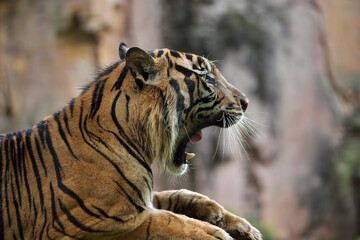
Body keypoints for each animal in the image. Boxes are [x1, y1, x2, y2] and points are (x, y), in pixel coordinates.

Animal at [0, 43, 262, 240]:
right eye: (208, 78)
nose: (246, 102)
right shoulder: (94, 222)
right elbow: (167, 222)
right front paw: (214, 234)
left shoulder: (143, 197)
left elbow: (181, 194)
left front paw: (240, 225)